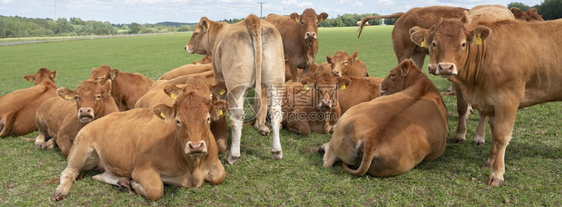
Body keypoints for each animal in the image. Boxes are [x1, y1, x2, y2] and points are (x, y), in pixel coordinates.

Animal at [185, 14, 284, 165]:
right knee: (275, 111)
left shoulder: (219, 76)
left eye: (196, 33)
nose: (186, 47)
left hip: (237, 85)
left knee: (237, 117)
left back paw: (233, 155)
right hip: (275, 81)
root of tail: (252, 19)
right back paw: (277, 151)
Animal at [406, 10, 560, 186]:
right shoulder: (492, 102)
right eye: (434, 44)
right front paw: (490, 162)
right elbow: (493, 132)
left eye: (463, 44)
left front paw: (497, 173)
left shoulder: (508, 101)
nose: (445, 67)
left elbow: (501, 136)